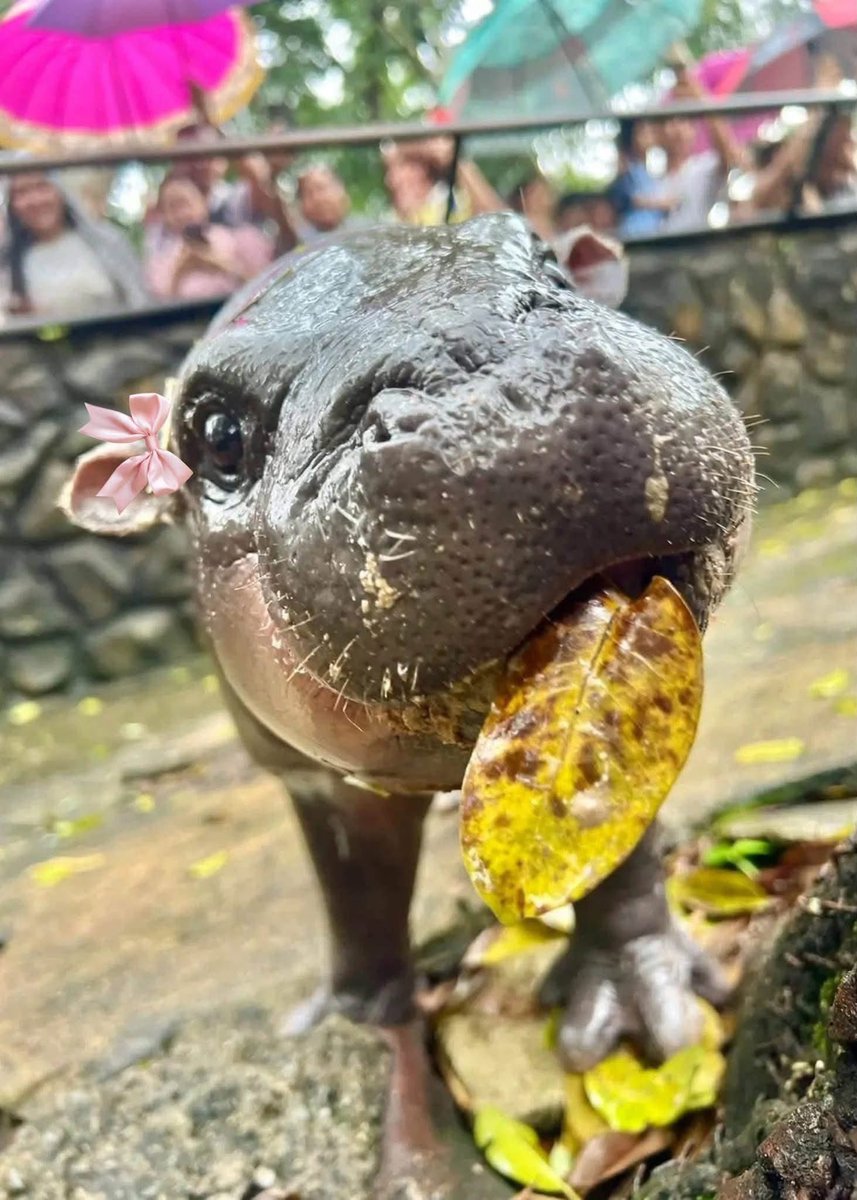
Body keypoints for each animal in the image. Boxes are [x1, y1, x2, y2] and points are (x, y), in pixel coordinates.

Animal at [65, 213, 755, 1197]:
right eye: (213, 432)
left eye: (543, 252)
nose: (509, 380)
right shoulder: (310, 780)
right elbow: (354, 893)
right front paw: (353, 1028)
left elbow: (615, 847)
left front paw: (639, 1013)